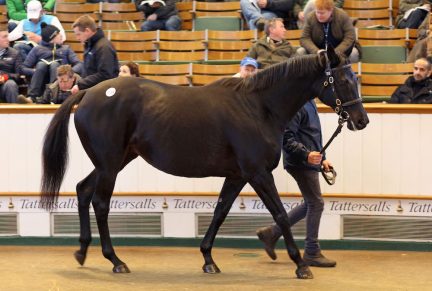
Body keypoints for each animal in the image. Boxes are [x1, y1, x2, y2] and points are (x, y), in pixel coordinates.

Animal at [42, 48, 370, 280]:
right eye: (343, 80)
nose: (361, 120)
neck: (258, 108)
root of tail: (88, 93)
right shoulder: (258, 173)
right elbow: (278, 213)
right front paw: (301, 264)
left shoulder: (238, 175)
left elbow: (220, 211)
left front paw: (208, 259)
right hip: (110, 164)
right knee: (100, 203)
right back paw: (115, 260)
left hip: (114, 161)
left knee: (83, 190)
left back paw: (82, 251)